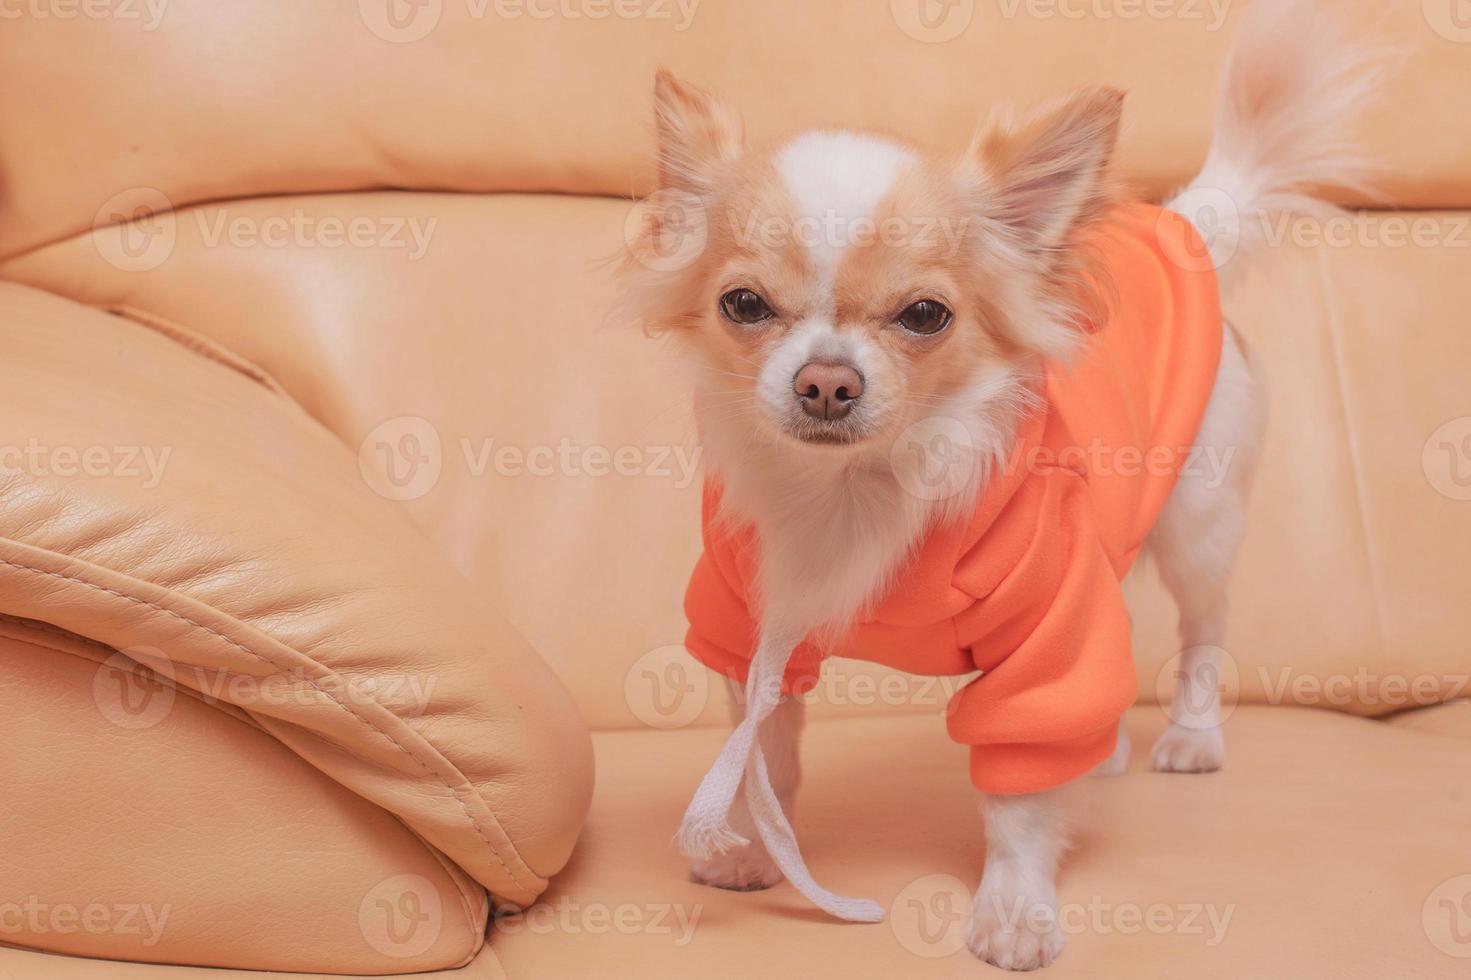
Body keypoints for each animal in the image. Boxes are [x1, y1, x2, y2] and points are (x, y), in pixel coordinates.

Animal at [626, 0, 1382, 965]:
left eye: (924, 316)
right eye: (744, 305)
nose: (826, 382)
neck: (857, 490)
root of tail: (1184, 230)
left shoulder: (1042, 628)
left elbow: (1018, 791)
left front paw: (1016, 906)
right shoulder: (751, 620)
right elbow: (767, 749)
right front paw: (758, 848)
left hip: (1197, 526)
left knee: (1202, 631)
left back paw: (1190, 736)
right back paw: (1103, 749)